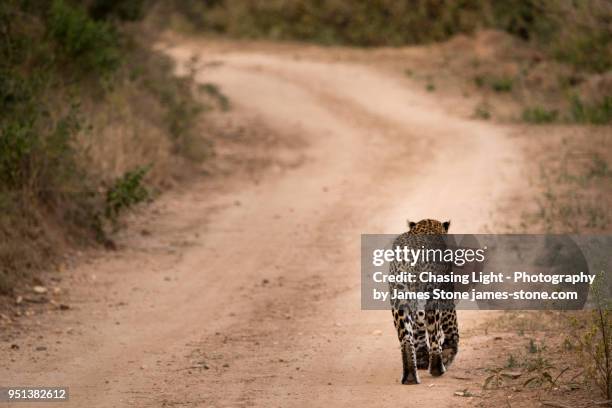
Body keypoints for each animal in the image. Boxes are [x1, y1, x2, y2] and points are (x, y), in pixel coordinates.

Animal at [390, 218, 462, 384]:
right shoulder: (445, 288)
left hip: (400, 296)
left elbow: (418, 327)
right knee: (434, 335)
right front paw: (449, 349)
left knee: (406, 338)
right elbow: (451, 323)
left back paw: (410, 375)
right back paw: (437, 367)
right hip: (431, 296)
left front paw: (422, 358)